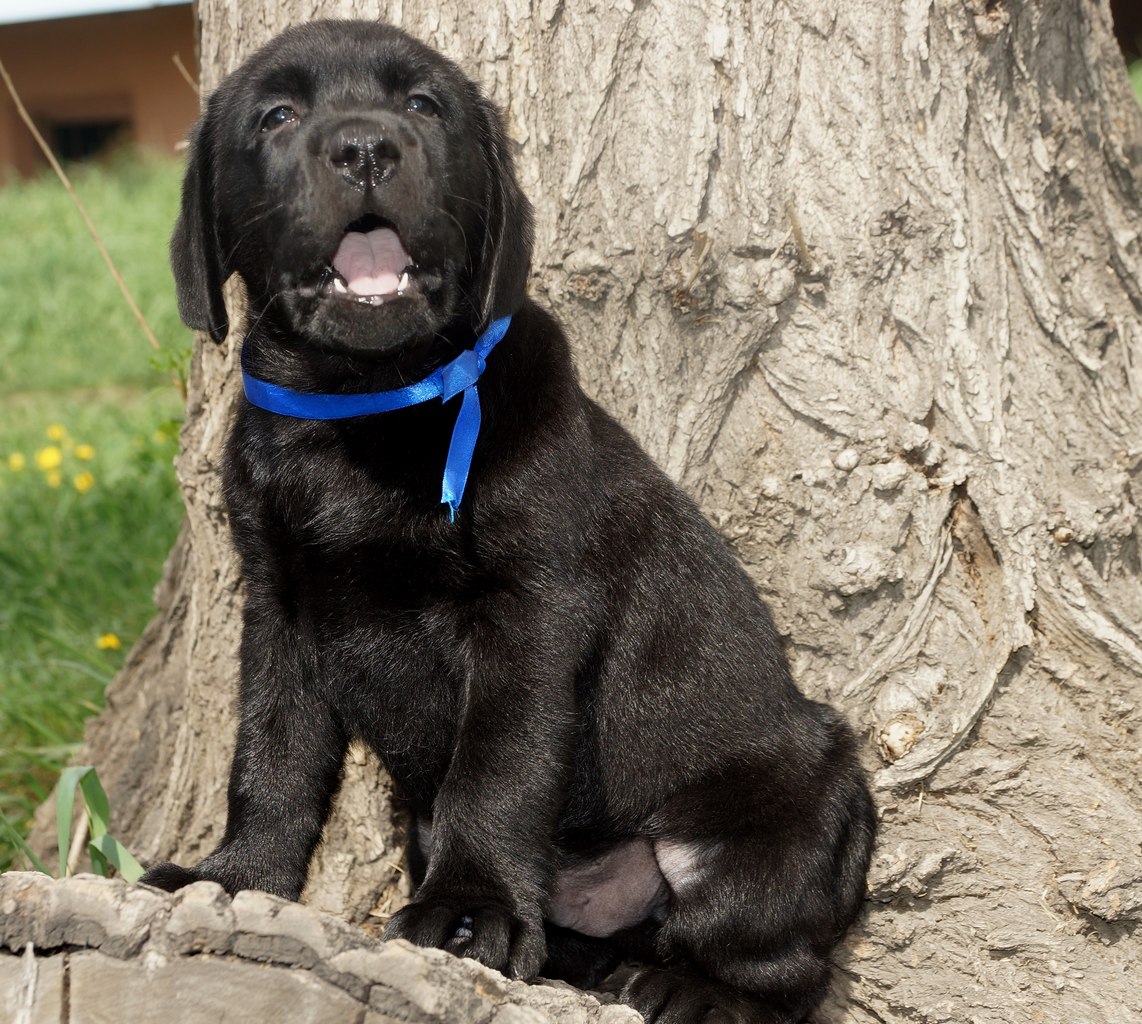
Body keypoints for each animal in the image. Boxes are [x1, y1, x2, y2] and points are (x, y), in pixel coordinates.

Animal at [142, 19, 872, 1018]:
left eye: (424, 106)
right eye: (278, 116)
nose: (365, 148)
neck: (367, 409)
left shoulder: (530, 610)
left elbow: (499, 765)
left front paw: (468, 909)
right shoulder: (280, 606)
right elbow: (270, 754)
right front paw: (235, 878)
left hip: (772, 822)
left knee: (786, 963)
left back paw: (691, 990)